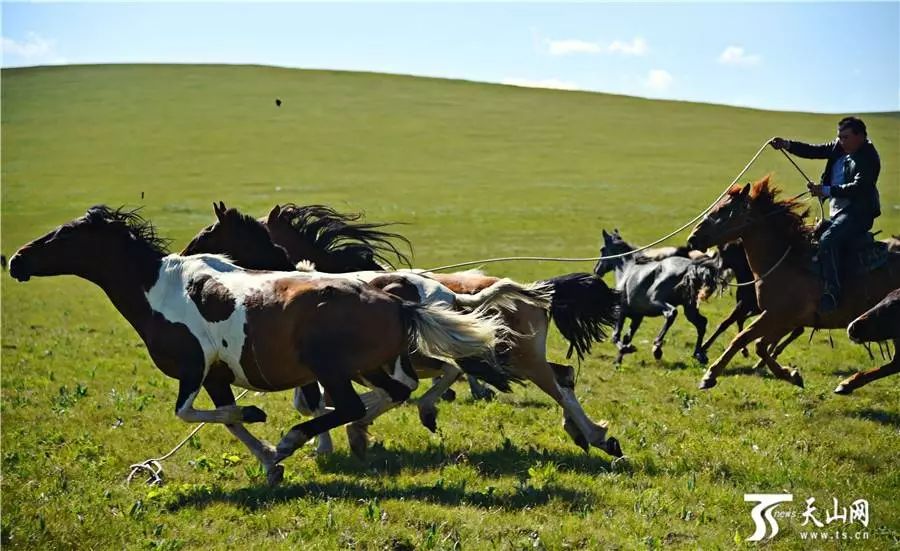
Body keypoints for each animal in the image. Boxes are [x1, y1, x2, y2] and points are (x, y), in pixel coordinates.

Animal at [8, 205, 506, 486]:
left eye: (61, 235)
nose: (14, 261)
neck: (160, 290)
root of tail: (398, 297)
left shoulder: (193, 370)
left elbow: (196, 413)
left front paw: (265, 427)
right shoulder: (215, 376)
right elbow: (227, 420)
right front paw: (269, 462)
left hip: (335, 367)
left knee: (361, 402)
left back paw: (298, 440)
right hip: (369, 367)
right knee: (397, 391)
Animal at [684, 176, 900, 388]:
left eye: (723, 209)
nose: (693, 238)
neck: (787, 261)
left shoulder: (777, 315)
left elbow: (742, 338)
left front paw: (709, 375)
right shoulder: (784, 319)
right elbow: (759, 344)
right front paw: (791, 375)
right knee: (894, 363)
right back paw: (848, 384)